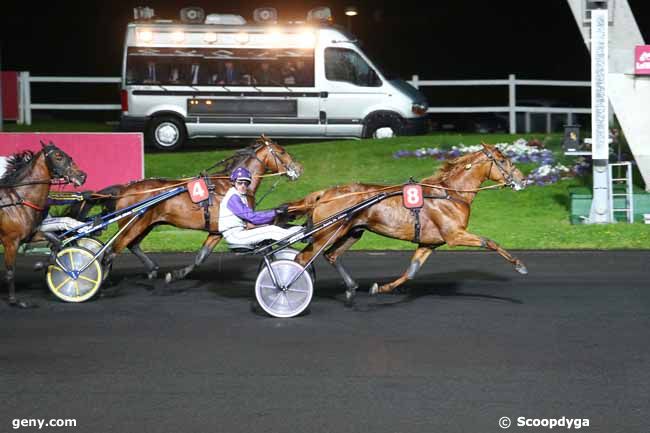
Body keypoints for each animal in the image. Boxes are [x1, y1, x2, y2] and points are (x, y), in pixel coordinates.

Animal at [0, 143, 86, 308]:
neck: (18, 201)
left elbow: (56, 241)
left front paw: (40, 264)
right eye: (58, 156)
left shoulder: (30, 235)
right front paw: (14, 301)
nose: (82, 176)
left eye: (68, 155)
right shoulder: (10, 242)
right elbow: (10, 271)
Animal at [72, 137, 300, 282]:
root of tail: (124, 189)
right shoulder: (243, 225)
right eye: (281, 151)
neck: (231, 184)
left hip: (146, 224)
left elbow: (201, 257)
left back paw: (152, 269)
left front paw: (176, 274)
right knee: (112, 251)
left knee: (132, 245)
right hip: (134, 224)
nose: (298, 168)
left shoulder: (216, 231)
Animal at [288, 143, 528, 302]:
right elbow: (490, 242)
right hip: (327, 234)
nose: (523, 180)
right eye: (504, 161)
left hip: (351, 232)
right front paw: (519, 265)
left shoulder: (429, 243)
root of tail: (325, 194)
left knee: (331, 255)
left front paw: (381, 288)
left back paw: (350, 287)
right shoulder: (455, 235)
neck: (451, 193)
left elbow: (411, 272)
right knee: (302, 258)